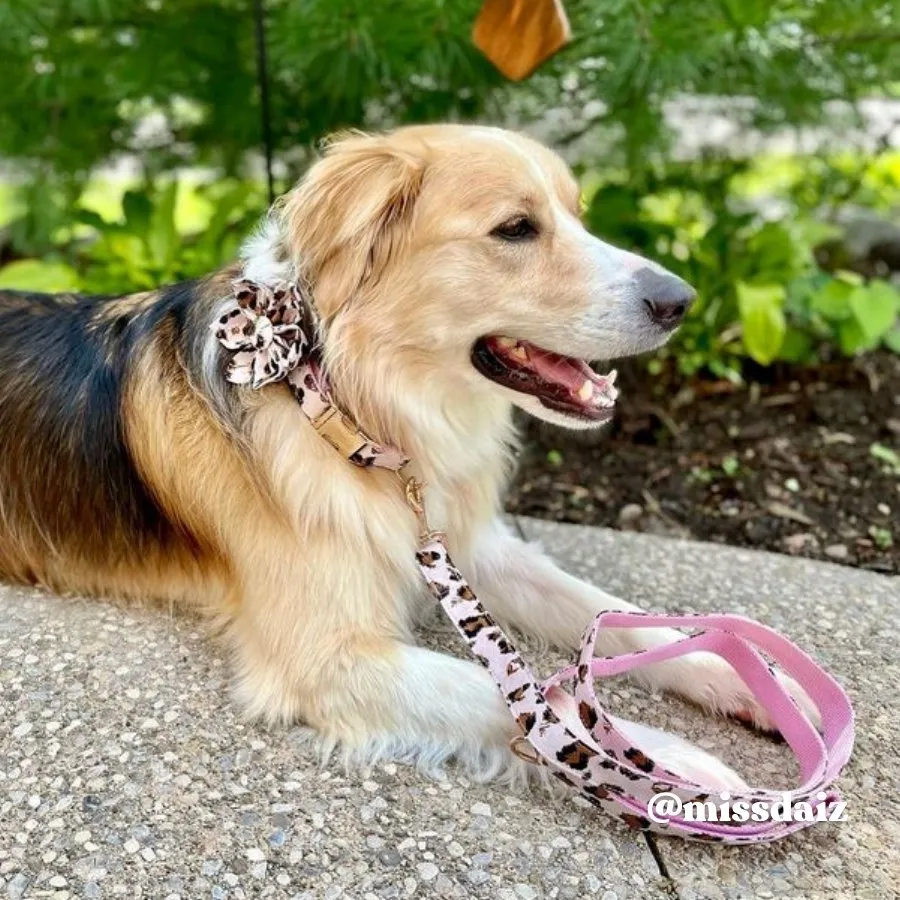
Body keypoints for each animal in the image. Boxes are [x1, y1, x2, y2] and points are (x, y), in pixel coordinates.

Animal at [0, 126, 816, 788]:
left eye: (577, 213)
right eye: (515, 228)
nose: (681, 301)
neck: (351, 406)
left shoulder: (471, 547)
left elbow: (614, 613)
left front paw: (748, 677)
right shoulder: (326, 659)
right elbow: (531, 703)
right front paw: (666, 767)